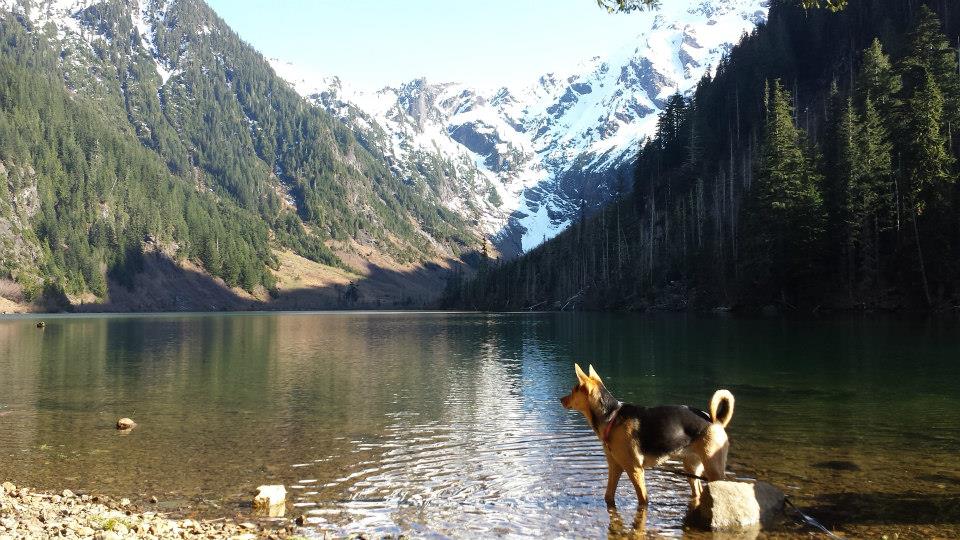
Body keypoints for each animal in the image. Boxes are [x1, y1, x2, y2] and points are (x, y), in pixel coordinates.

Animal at [556, 362, 736, 506]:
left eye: (573, 390)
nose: (560, 399)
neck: (611, 416)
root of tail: (714, 421)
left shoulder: (635, 470)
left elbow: (643, 500)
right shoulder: (615, 467)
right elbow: (608, 496)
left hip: (713, 468)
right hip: (692, 467)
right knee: (697, 491)